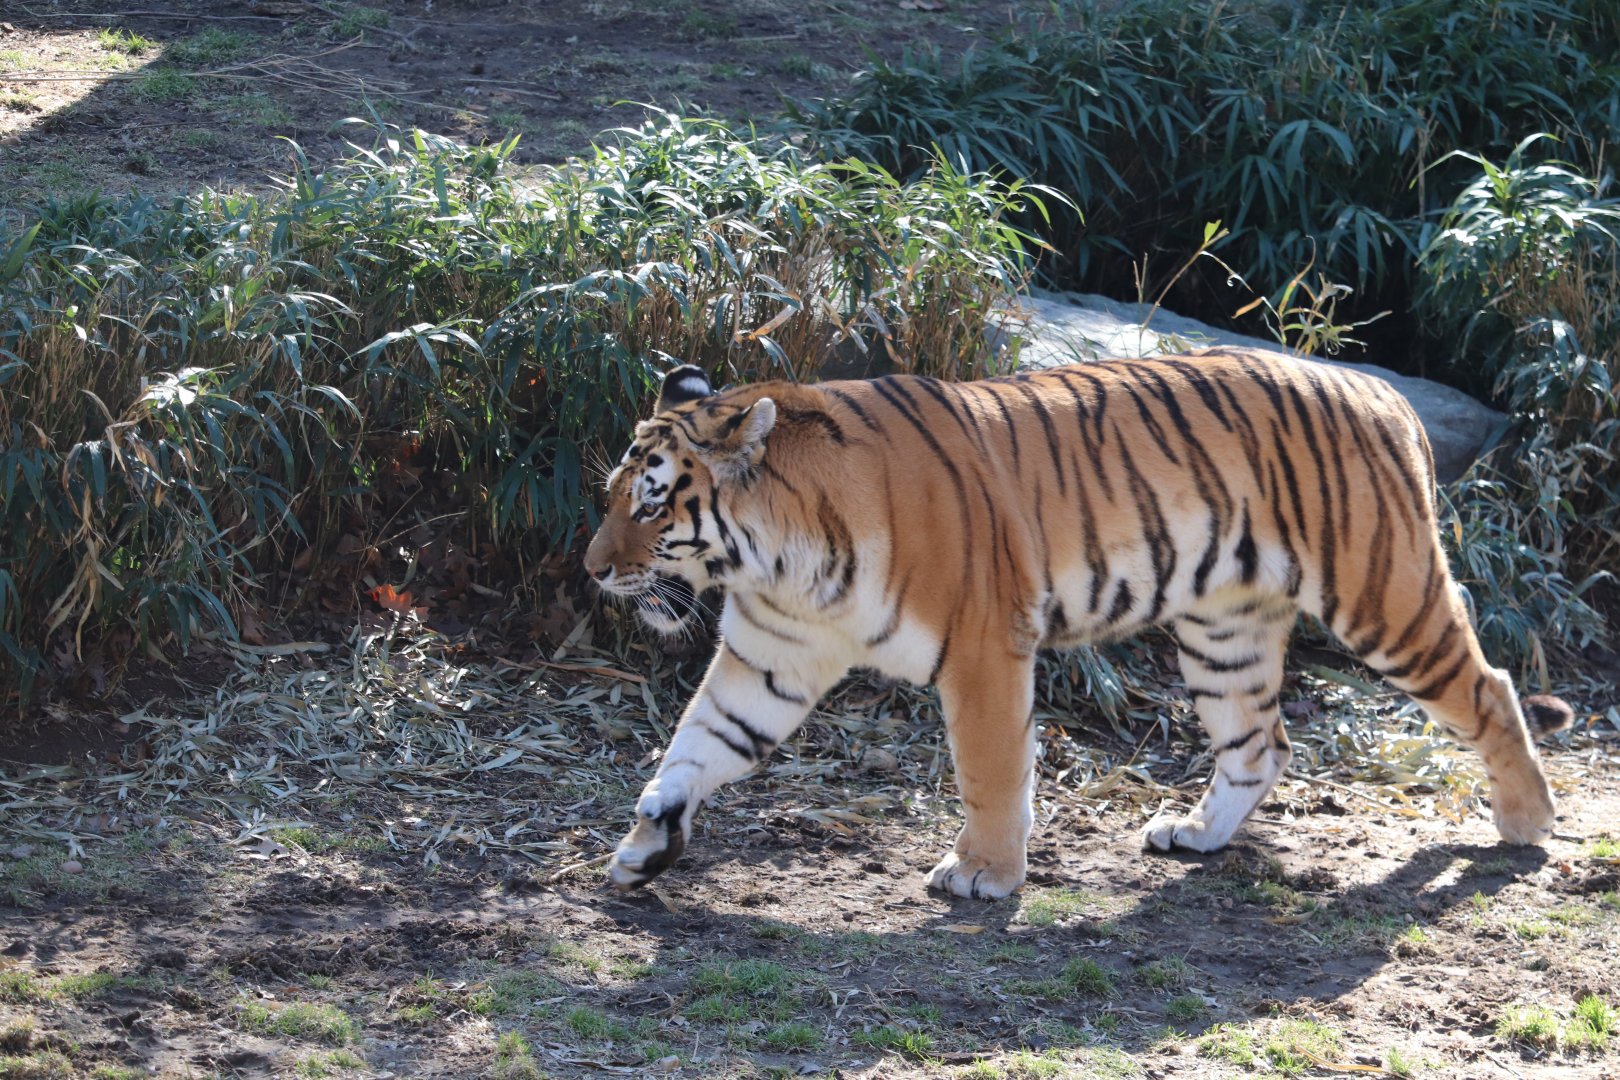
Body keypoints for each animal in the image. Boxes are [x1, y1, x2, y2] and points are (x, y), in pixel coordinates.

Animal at [583, 348, 1573, 899]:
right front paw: (644, 846)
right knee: (1261, 742)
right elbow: (693, 748)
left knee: (1490, 685)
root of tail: (1383, 394)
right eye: (610, 494)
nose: (593, 570)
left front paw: (982, 875)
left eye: (650, 503)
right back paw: (1195, 835)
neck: (777, 560)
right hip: (1224, 631)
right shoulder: (770, 658)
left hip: (1383, 598)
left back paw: (1527, 821)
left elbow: (990, 774)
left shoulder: (984, 650)